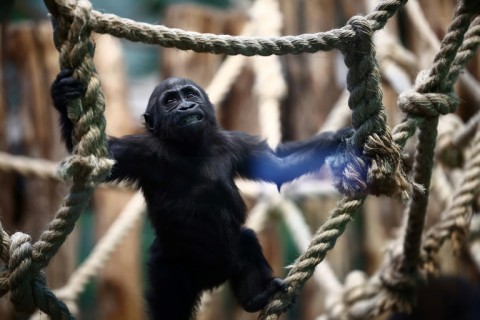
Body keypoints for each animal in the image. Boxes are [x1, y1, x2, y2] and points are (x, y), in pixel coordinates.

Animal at [52, 71, 350, 318]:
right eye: (171, 100)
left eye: (190, 94)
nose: (186, 106)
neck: (190, 147)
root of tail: (210, 282)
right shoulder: (140, 151)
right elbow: (101, 157)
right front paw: (62, 94)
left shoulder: (237, 145)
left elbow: (278, 166)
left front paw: (340, 137)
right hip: (170, 270)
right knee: (169, 307)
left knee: (246, 239)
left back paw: (258, 297)